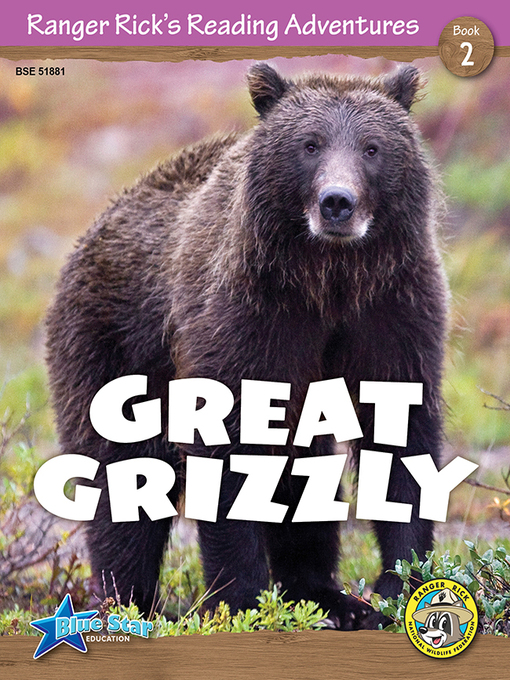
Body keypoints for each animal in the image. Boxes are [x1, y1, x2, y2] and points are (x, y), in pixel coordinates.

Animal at [45, 62, 448, 629]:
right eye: (309, 143)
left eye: (372, 147)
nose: (337, 203)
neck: (328, 279)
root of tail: (102, 220)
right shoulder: (245, 319)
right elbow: (228, 451)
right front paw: (243, 600)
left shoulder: (393, 311)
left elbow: (400, 436)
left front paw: (395, 588)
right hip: (114, 346)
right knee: (122, 477)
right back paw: (128, 602)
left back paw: (326, 596)